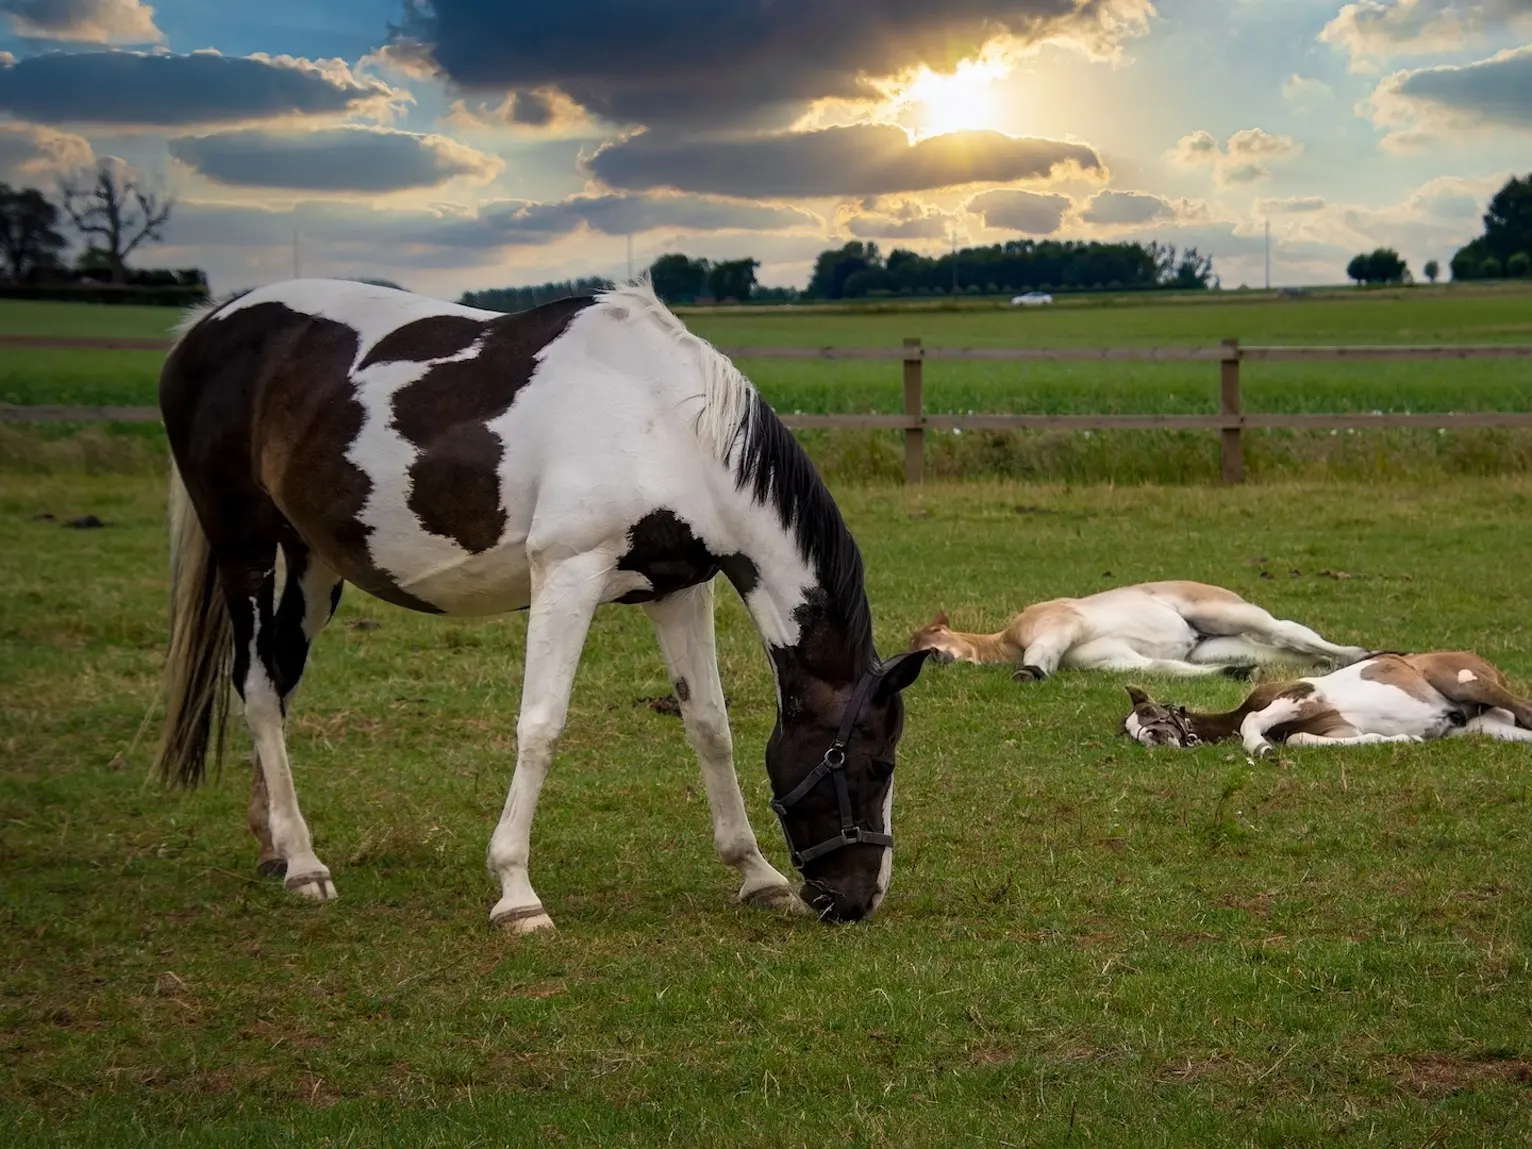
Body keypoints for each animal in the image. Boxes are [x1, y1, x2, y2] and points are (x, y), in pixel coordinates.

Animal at [155, 278, 925, 937]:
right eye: (877, 764)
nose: (857, 902)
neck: (664, 423)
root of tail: (207, 327)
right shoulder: (568, 573)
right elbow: (541, 726)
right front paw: (517, 893)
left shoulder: (678, 588)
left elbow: (709, 726)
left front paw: (757, 875)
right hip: (245, 547)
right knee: (257, 687)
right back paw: (306, 865)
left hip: (315, 562)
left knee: (279, 678)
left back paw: (276, 847)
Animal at [1121, 652, 1532, 759]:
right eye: (1131, 733)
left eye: (1149, 713)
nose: (1153, 738)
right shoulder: (1339, 728)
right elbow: (1301, 739)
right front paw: (1400, 740)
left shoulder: (1300, 696)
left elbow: (1252, 721)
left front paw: (1262, 748)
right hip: (1485, 727)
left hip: (1467, 681)